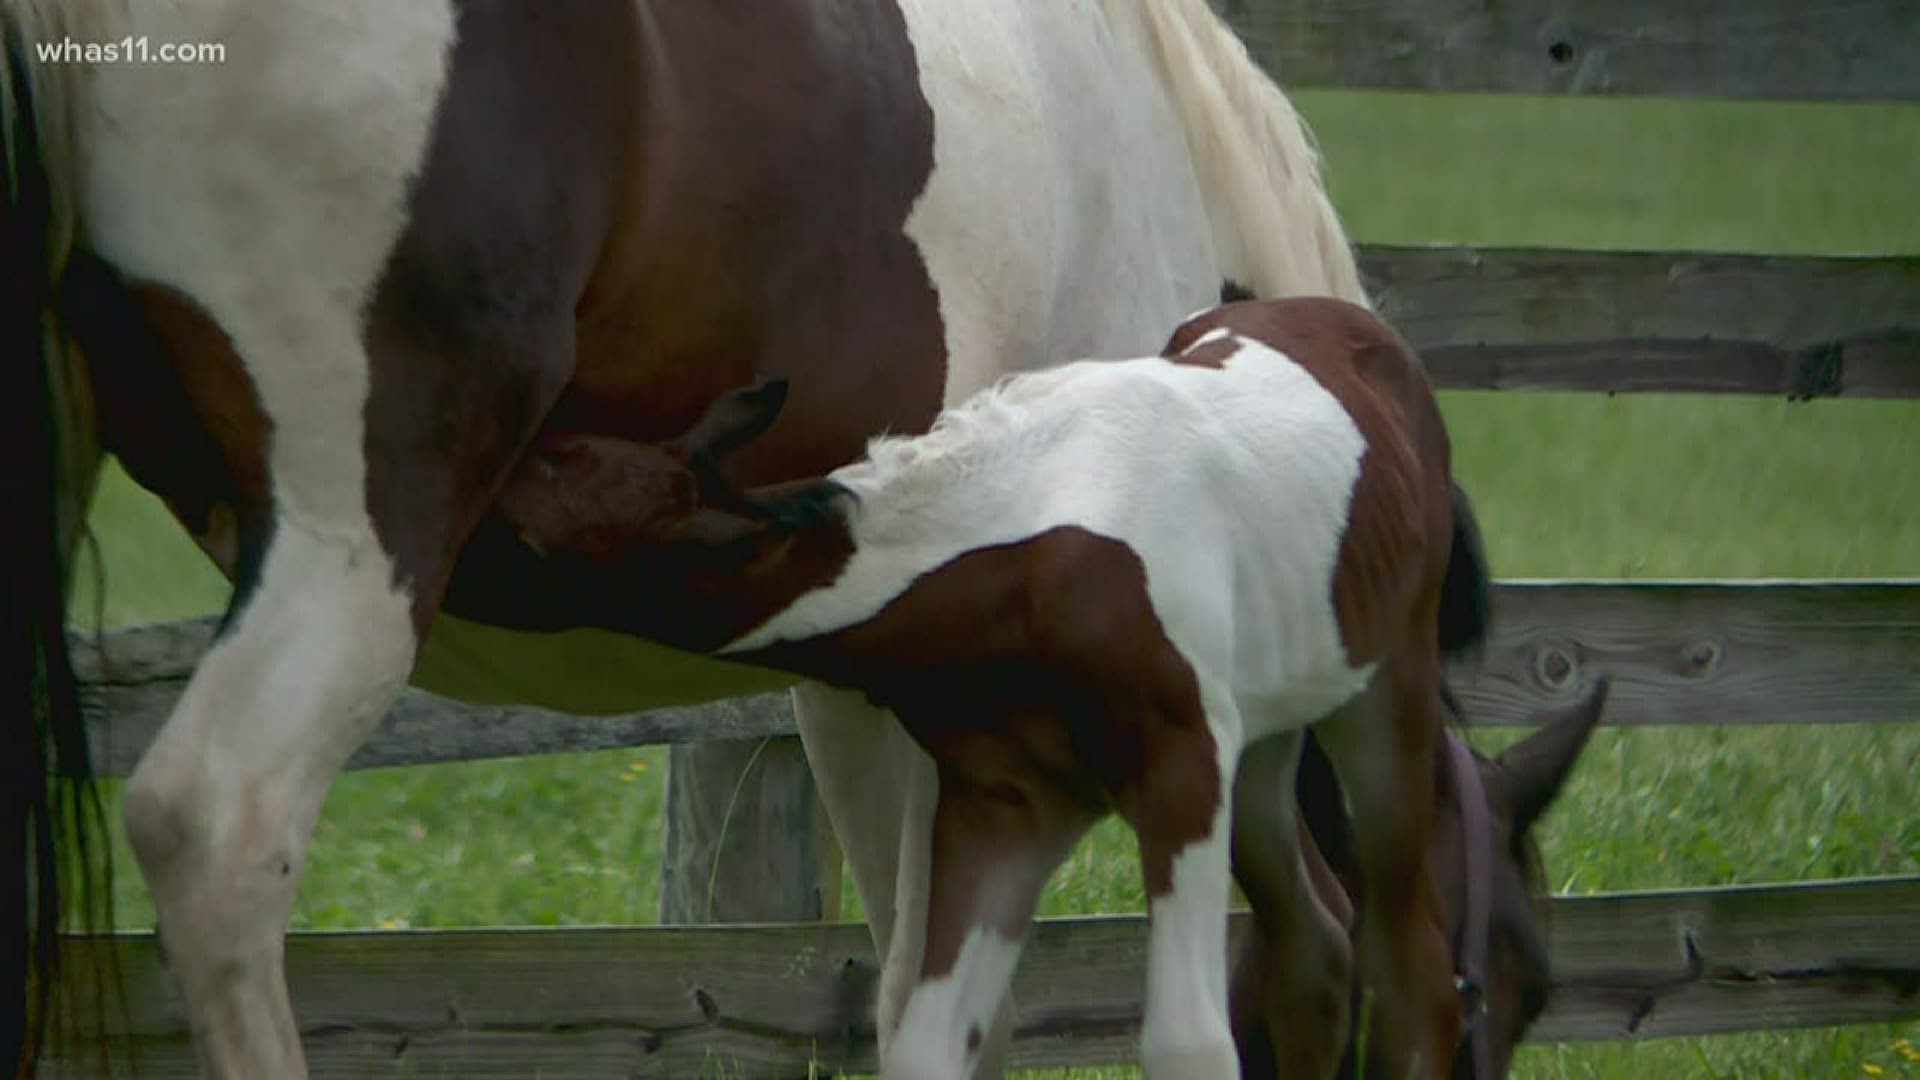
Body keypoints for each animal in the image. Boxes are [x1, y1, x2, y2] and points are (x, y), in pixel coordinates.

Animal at [495, 295, 1482, 1076]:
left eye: (551, 484)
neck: (1028, 547)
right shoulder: (1007, 808)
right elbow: (931, 1043)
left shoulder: (1182, 773)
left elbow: (1187, 1042)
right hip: (1266, 748)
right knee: (1315, 949)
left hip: (1381, 704)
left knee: (1413, 964)